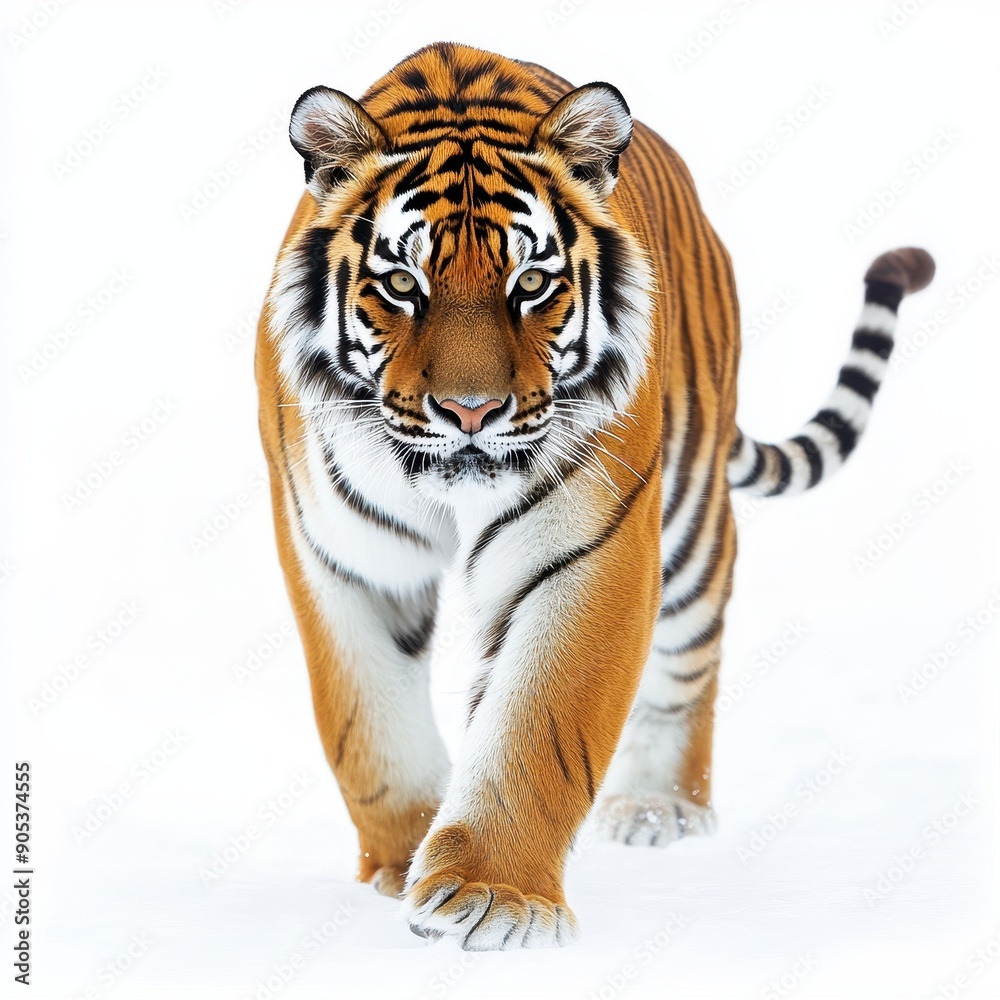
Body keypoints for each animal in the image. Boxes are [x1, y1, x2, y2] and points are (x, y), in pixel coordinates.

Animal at [255, 41, 934, 950]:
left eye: (531, 283)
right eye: (402, 285)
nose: (471, 411)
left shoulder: (590, 548)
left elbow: (537, 725)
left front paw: (490, 895)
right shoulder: (343, 558)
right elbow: (368, 727)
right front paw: (405, 863)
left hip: (689, 517)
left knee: (691, 657)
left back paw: (658, 807)